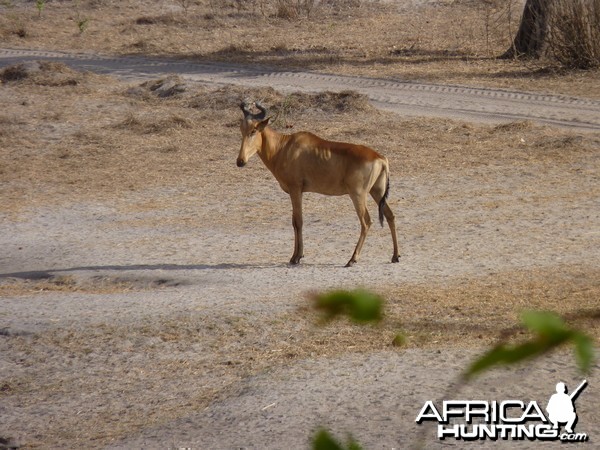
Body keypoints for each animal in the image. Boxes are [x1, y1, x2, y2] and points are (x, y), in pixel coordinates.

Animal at [237, 100, 400, 266]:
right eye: (242, 129)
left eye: (254, 130)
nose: (240, 161)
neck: (284, 146)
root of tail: (380, 158)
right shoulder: (297, 191)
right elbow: (294, 221)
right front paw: (295, 256)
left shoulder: (295, 189)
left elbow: (298, 221)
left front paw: (296, 257)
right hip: (377, 192)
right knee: (390, 215)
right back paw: (395, 256)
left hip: (358, 195)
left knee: (366, 221)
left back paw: (352, 259)